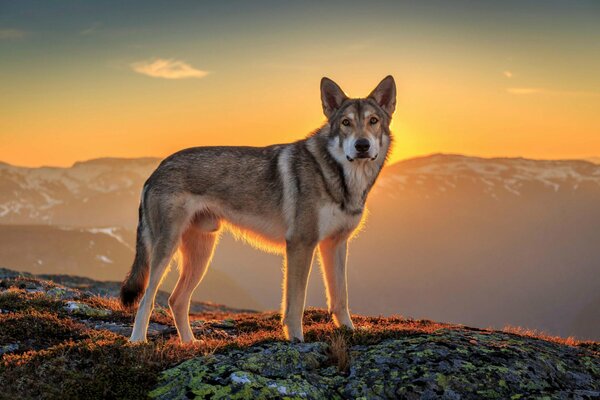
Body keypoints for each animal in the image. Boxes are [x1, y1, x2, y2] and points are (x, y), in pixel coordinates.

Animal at [119, 76, 396, 344]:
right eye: (346, 123)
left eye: (373, 121)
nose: (362, 145)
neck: (340, 177)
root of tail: (155, 170)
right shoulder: (300, 244)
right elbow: (295, 303)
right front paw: (296, 339)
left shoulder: (335, 244)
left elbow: (340, 298)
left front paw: (350, 331)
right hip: (166, 250)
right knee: (147, 299)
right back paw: (138, 342)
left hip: (202, 254)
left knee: (176, 300)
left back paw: (191, 343)